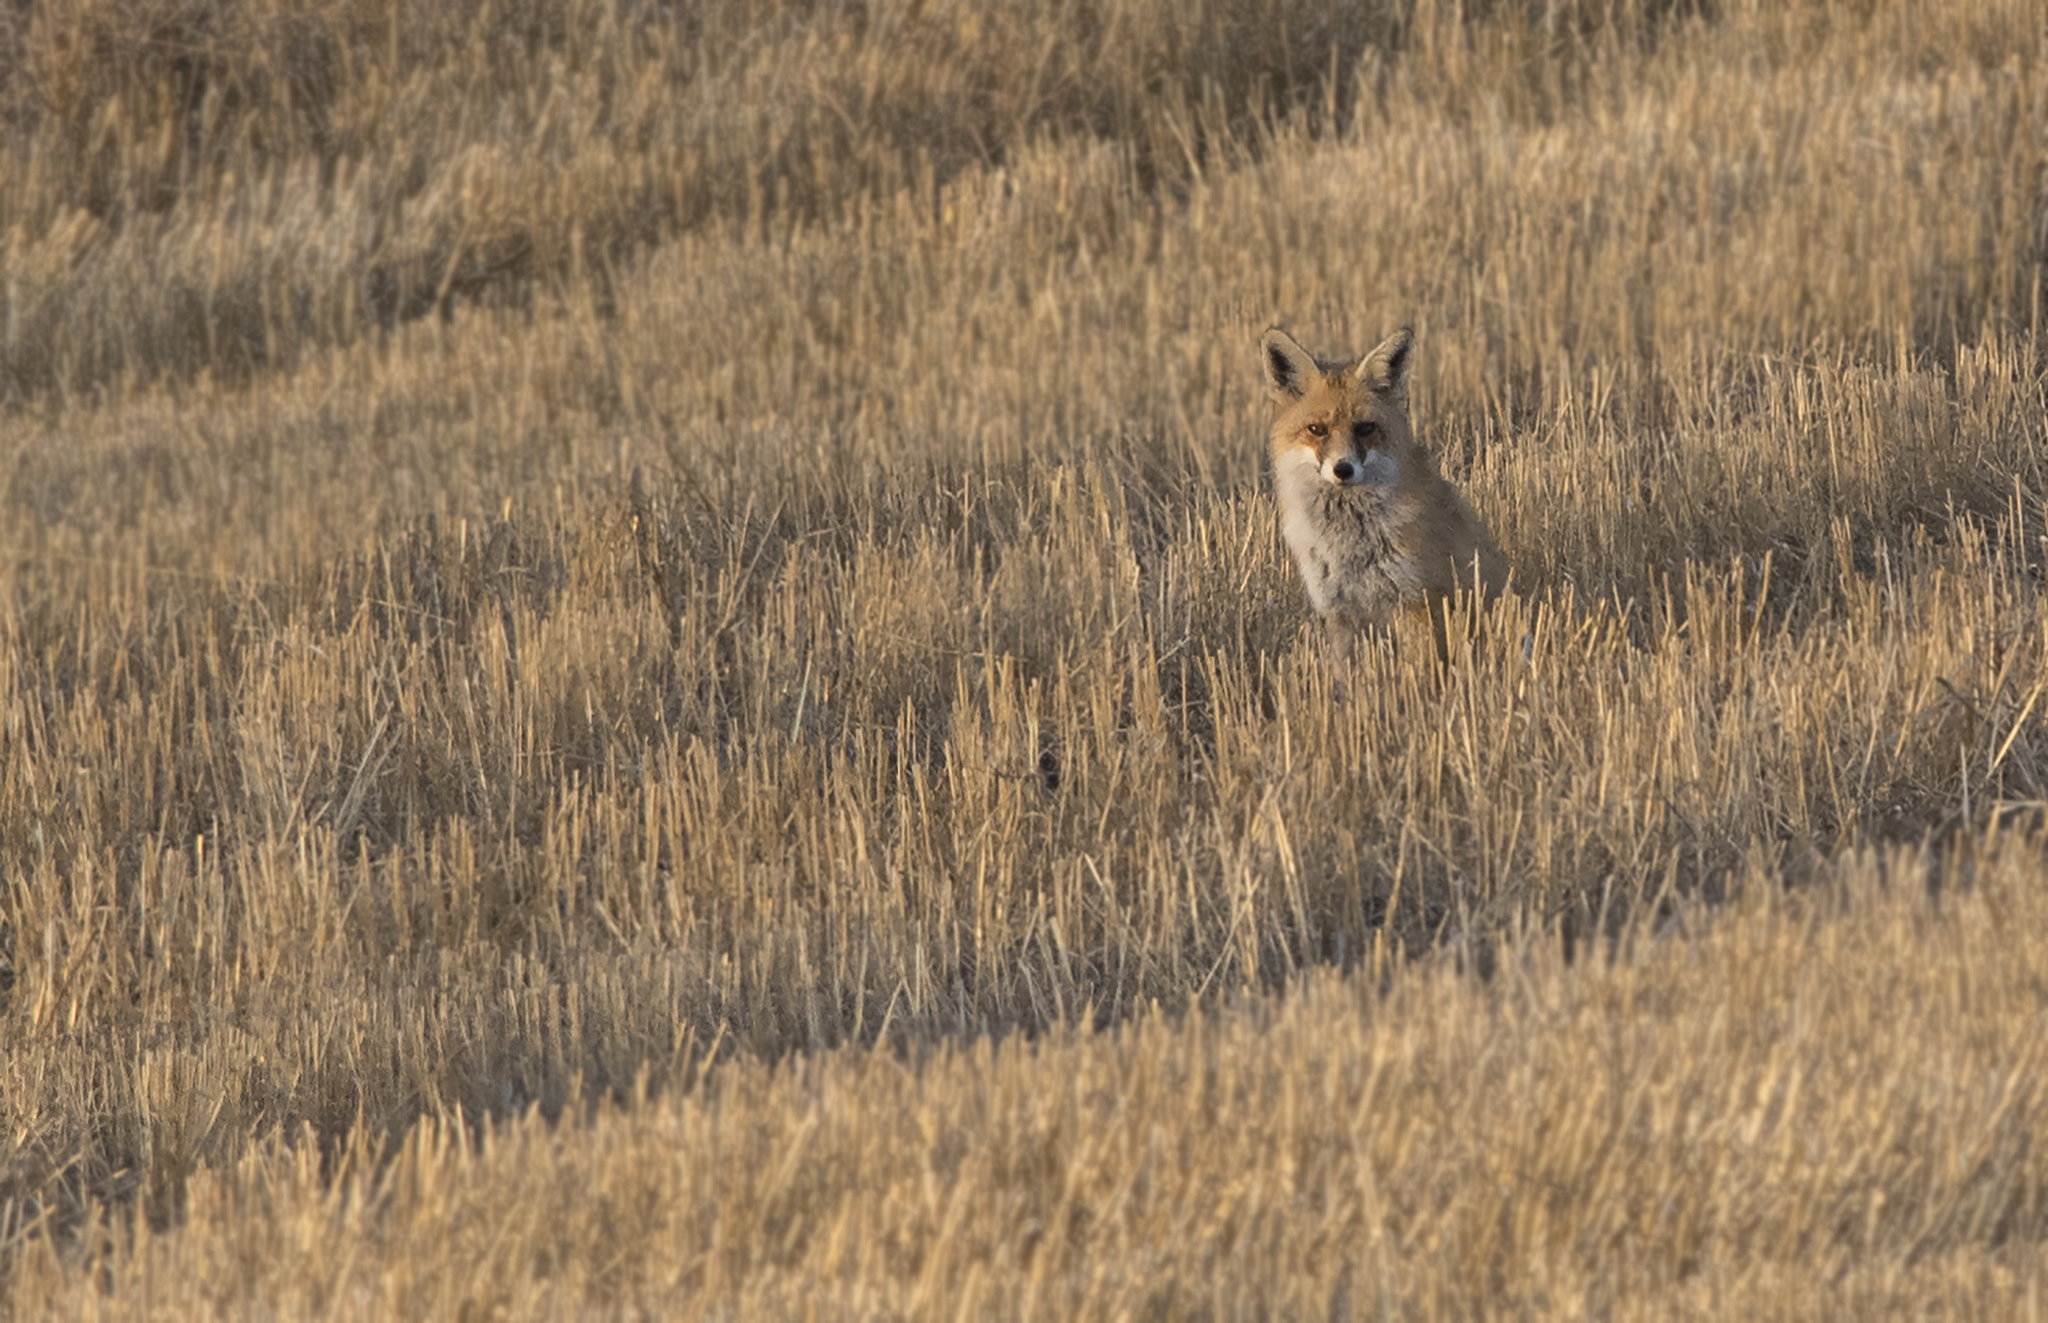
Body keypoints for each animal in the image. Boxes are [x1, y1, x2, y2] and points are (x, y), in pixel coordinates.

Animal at [1261, 325, 1507, 647]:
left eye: (1365, 428)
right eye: (1317, 429)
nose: (1343, 469)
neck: (1349, 543)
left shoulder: (1418, 603)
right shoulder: (1338, 613)